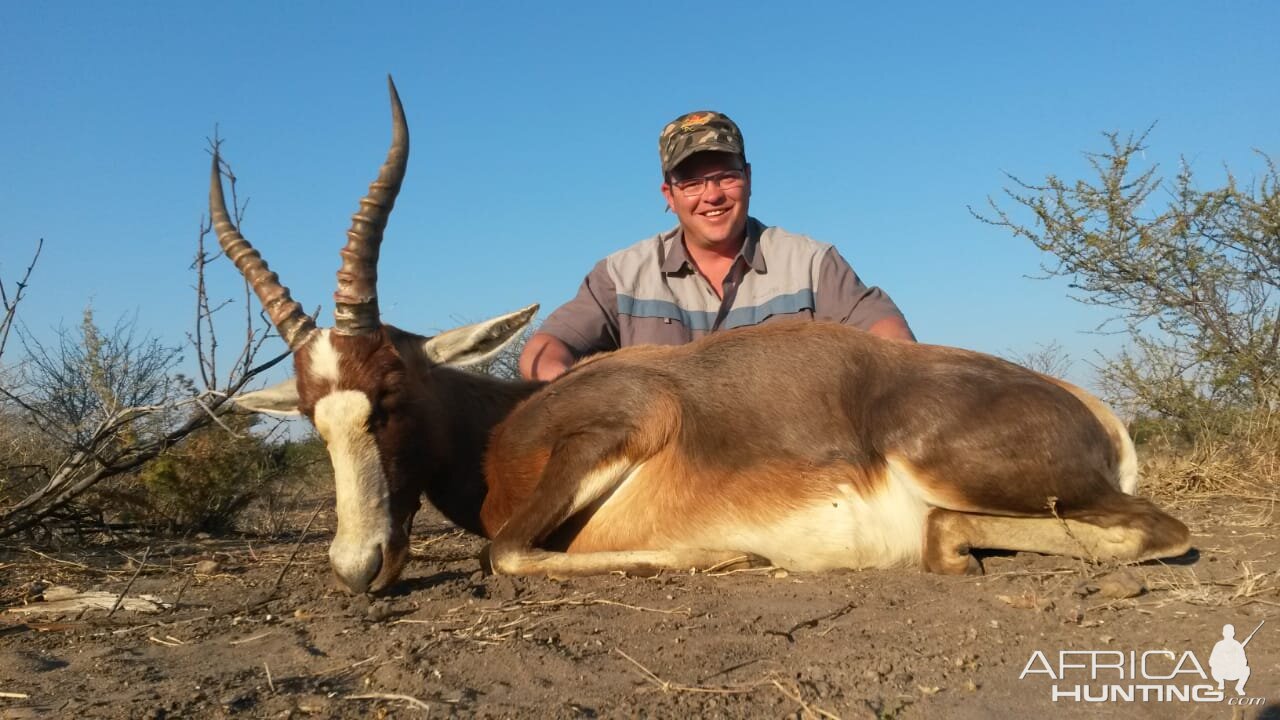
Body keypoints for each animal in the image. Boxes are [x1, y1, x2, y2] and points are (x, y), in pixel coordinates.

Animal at [217, 77, 1187, 594]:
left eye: (389, 393)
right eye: (312, 414)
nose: (356, 565)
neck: (509, 424)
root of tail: (1094, 410)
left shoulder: (631, 421)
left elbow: (508, 551)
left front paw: (727, 549)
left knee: (1159, 530)